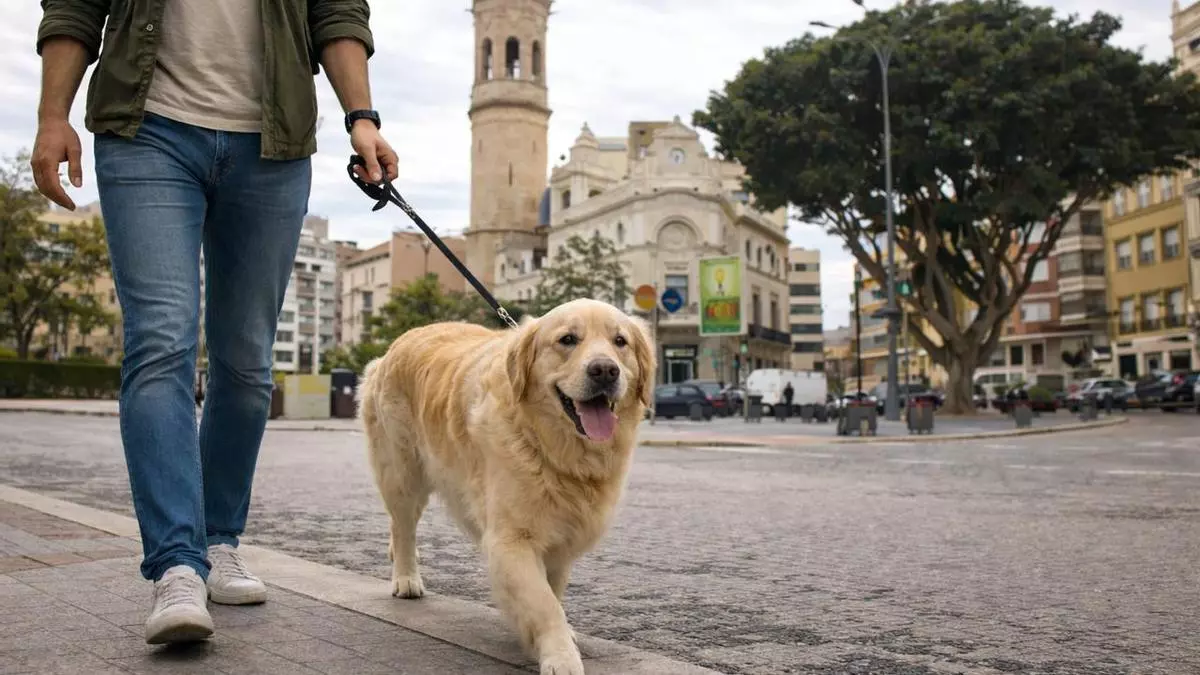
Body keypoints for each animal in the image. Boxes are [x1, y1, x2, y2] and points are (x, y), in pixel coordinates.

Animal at [357, 298, 656, 675]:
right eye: (568, 339)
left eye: (620, 342)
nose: (604, 370)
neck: (551, 447)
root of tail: (394, 347)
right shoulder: (510, 539)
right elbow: (543, 602)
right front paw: (560, 655)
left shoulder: (562, 536)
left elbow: (552, 590)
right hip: (402, 474)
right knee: (402, 527)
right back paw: (406, 578)